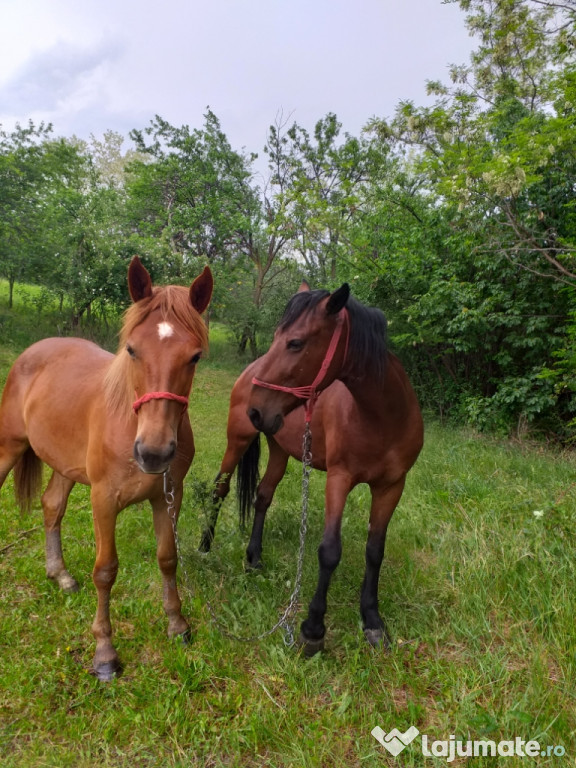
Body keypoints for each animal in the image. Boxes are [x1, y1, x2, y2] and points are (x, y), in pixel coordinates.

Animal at [0, 258, 213, 680]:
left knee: (52, 506)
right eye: (131, 349)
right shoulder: (103, 500)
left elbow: (168, 558)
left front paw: (176, 624)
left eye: (195, 357)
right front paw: (105, 652)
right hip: (8, 448)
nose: (153, 453)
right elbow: (105, 570)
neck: (130, 423)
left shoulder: (168, 497)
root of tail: (32, 352)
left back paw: (60, 574)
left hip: (65, 465)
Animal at [201, 282, 424, 656]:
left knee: (263, 496)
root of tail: (249, 370)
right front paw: (313, 628)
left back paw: (254, 559)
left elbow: (375, 550)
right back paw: (204, 546)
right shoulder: (339, 479)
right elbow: (329, 551)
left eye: (295, 342)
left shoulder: (392, 486)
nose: (255, 409)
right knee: (220, 488)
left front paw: (372, 620)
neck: (383, 417)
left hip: (279, 450)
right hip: (238, 440)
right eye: (278, 336)